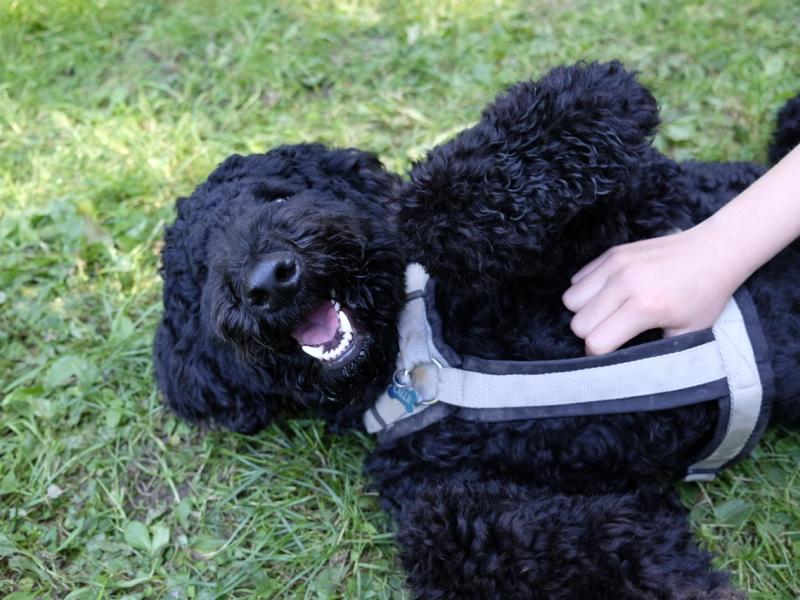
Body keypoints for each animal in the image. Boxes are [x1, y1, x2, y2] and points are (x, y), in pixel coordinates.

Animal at [156, 63, 800, 596]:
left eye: (278, 196)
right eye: (203, 268)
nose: (270, 278)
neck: (411, 357)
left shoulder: (642, 204)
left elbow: (439, 197)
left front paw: (593, 100)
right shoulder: (456, 497)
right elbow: (512, 542)